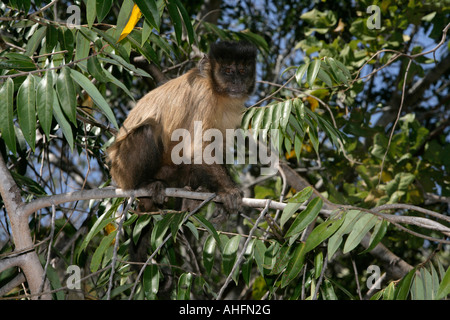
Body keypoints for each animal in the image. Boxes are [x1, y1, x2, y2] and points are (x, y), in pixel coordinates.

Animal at [107, 40, 256, 262]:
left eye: (243, 70)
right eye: (228, 71)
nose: (237, 81)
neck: (216, 91)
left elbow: (214, 147)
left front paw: (218, 198)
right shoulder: (204, 96)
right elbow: (198, 149)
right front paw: (229, 191)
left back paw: (191, 200)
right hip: (121, 169)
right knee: (149, 131)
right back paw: (145, 185)